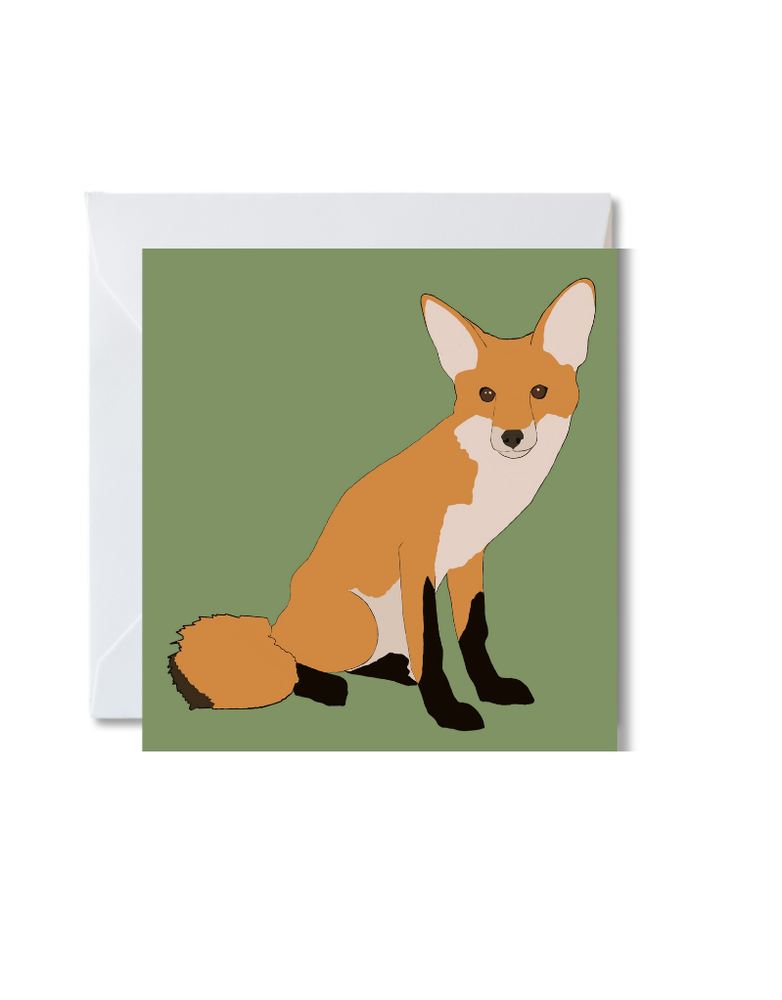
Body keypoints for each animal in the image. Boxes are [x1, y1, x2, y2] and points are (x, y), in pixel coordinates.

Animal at [168, 278, 596, 731]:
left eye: (539, 392)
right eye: (486, 394)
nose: (511, 437)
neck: (488, 483)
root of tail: (275, 624)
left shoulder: (469, 558)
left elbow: (472, 634)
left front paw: (490, 689)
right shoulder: (417, 557)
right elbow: (431, 644)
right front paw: (446, 711)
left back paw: (395, 669)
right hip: (361, 624)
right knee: (293, 661)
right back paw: (326, 685)